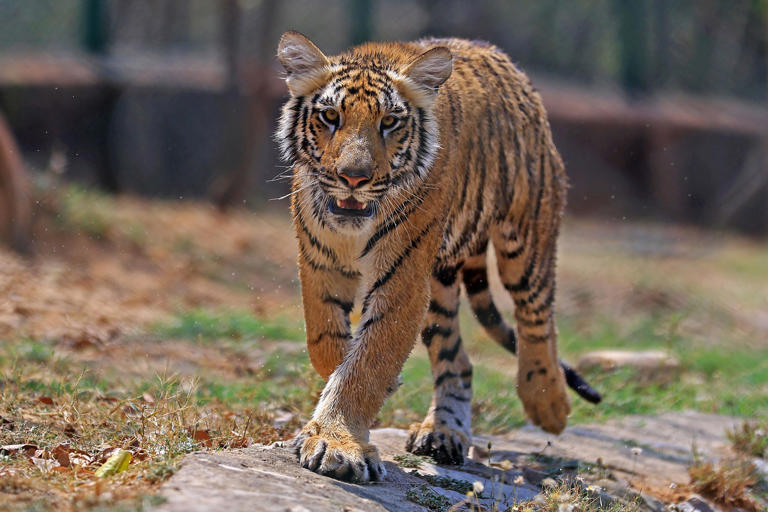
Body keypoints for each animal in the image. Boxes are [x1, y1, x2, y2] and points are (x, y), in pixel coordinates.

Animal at [275, 31, 600, 483]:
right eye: (330, 116)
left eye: (389, 122)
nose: (353, 178)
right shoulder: (320, 261)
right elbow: (324, 340)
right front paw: (344, 408)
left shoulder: (402, 280)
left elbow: (367, 363)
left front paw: (337, 443)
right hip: (439, 285)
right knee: (458, 361)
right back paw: (443, 433)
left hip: (526, 239)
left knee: (537, 320)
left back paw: (547, 403)